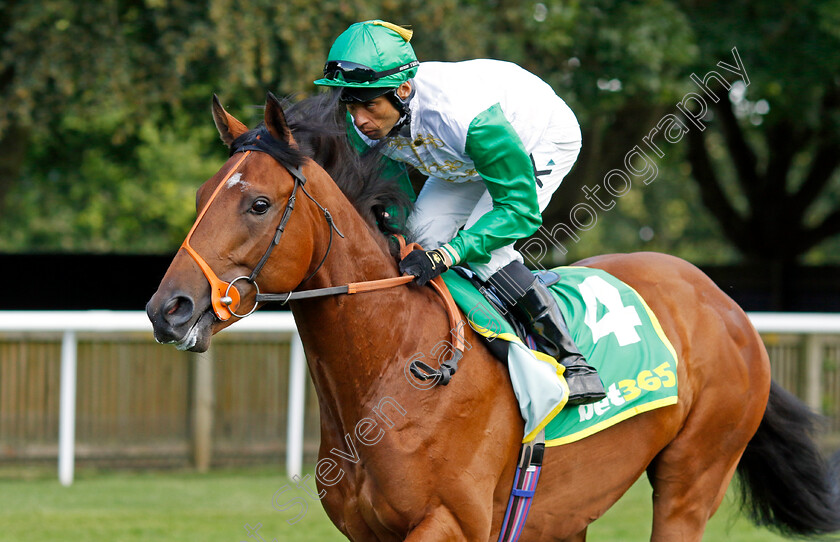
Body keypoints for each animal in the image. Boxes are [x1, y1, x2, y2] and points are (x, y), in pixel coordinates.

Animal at [146, 93, 840, 542]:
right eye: (203, 196)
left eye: (259, 204)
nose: (167, 308)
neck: (400, 367)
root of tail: (722, 302)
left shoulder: (449, 523)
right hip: (564, 512)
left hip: (692, 480)